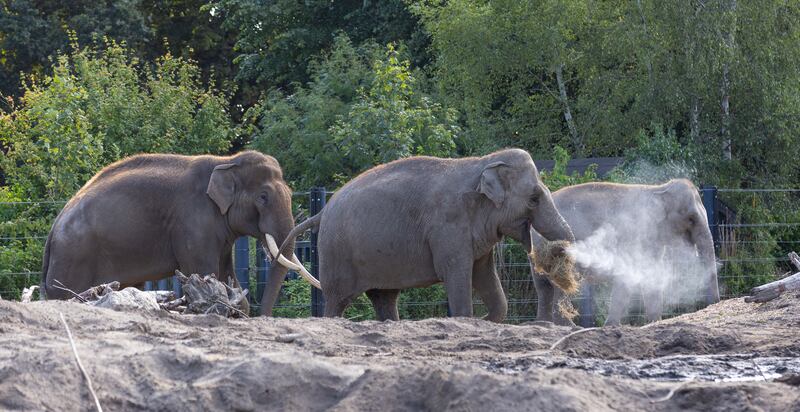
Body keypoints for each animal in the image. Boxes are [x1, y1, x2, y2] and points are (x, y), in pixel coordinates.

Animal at [42, 151, 308, 312]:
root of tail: (54, 228)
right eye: (263, 197)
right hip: (73, 258)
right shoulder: (194, 221)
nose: (264, 315)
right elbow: (204, 271)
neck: (226, 161)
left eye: (290, 193)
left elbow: (225, 275)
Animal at [271, 148, 575, 322]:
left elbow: (484, 275)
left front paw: (487, 319)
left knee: (384, 297)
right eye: (534, 199)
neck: (482, 164)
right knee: (337, 300)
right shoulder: (448, 224)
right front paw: (469, 318)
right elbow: (457, 272)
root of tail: (323, 210)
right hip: (337, 252)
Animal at [531, 179, 720, 326]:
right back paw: (568, 326)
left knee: (543, 287)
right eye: (691, 219)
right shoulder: (635, 231)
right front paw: (611, 326)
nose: (713, 305)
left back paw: (545, 324)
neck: (657, 189)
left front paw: (654, 322)